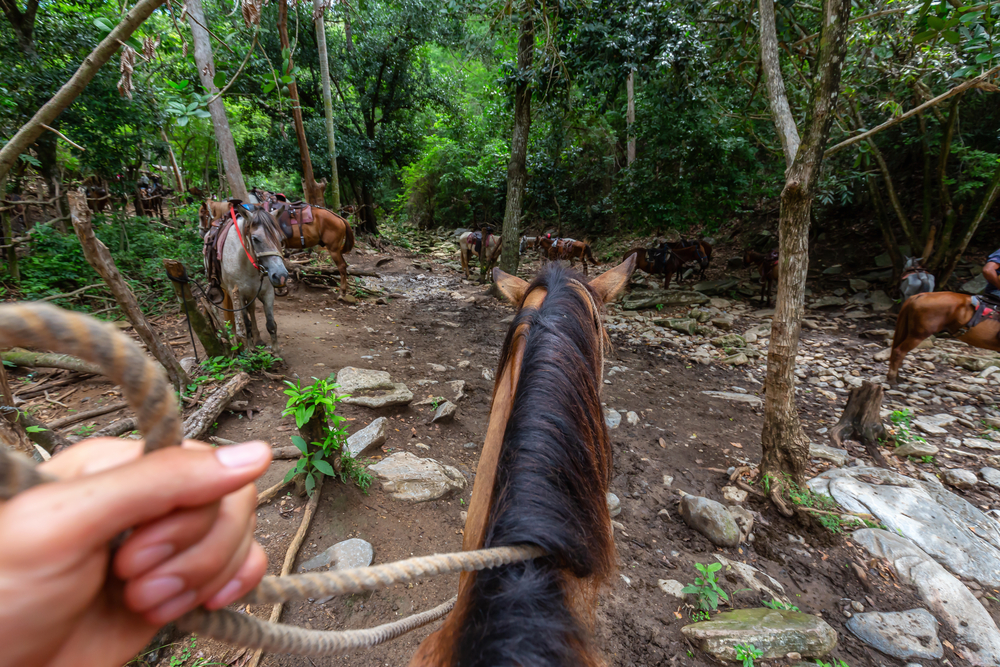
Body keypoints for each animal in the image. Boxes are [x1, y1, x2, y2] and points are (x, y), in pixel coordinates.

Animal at [220, 209, 290, 354]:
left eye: (280, 239)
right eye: (255, 239)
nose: (281, 276)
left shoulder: (268, 293)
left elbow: (271, 323)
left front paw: (275, 351)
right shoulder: (238, 295)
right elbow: (245, 323)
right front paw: (250, 349)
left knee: (251, 309)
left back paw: (257, 338)